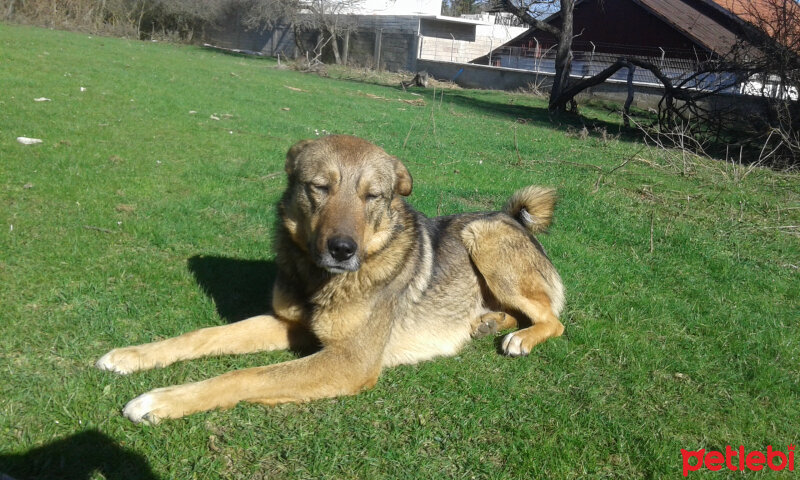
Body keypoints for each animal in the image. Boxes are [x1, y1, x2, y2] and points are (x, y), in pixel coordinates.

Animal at [97, 135, 564, 424]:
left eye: (372, 196)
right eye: (319, 187)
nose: (342, 249)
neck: (319, 279)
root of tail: (511, 216)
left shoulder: (350, 360)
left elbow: (245, 375)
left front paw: (161, 399)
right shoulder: (289, 325)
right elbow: (203, 335)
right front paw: (133, 355)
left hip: (483, 237)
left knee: (553, 320)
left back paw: (519, 337)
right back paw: (487, 322)